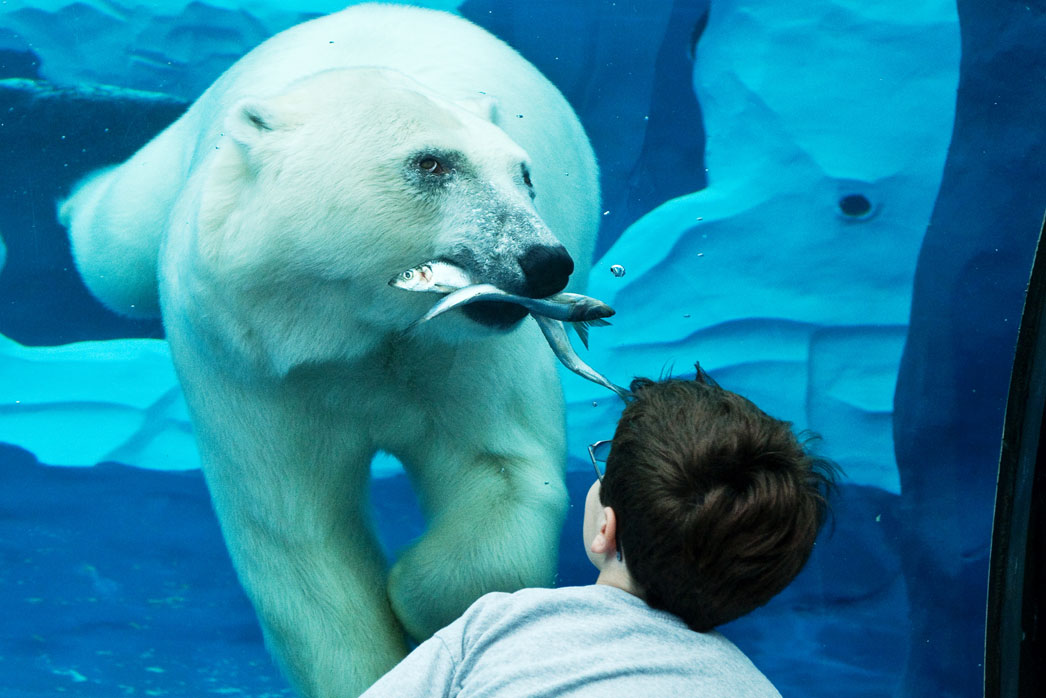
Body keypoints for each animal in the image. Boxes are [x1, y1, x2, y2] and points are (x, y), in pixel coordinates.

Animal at [59, 4, 599, 697]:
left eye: (525, 175)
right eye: (431, 163)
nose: (546, 262)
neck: (348, 326)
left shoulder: (456, 356)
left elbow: (500, 469)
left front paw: (413, 595)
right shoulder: (252, 361)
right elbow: (298, 541)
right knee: (115, 247)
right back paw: (75, 196)